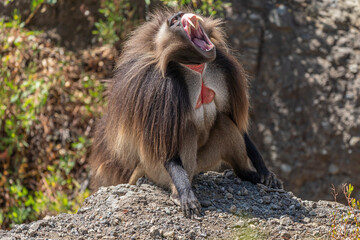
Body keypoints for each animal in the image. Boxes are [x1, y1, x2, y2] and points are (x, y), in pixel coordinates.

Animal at [88, 10, 282, 218]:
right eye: (174, 21)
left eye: (179, 14)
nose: (180, 14)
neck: (196, 67)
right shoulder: (161, 88)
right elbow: (167, 149)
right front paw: (185, 194)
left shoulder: (223, 71)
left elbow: (234, 121)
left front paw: (264, 172)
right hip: (155, 170)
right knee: (185, 131)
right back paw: (177, 193)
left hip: (203, 161)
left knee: (223, 121)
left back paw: (247, 174)